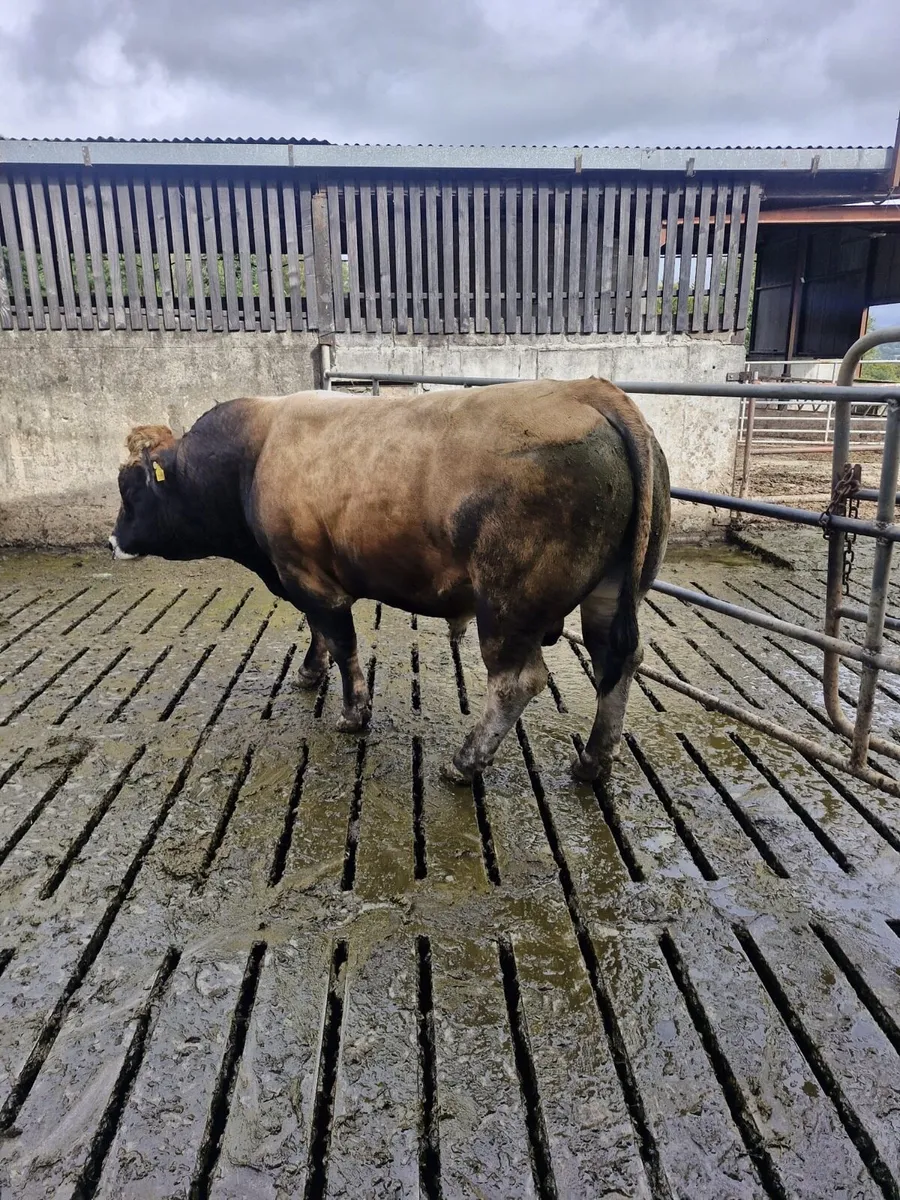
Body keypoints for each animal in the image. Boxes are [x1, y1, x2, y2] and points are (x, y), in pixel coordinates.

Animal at [110, 379, 670, 783]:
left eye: (129, 488)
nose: (113, 540)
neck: (252, 455)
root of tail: (589, 389)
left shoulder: (311, 578)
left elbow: (342, 643)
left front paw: (353, 712)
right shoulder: (304, 575)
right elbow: (318, 633)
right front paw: (309, 673)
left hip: (508, 607)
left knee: (518, 681)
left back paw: (465, 762)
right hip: (611, 593)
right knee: (617, 661)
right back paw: (592, 762)